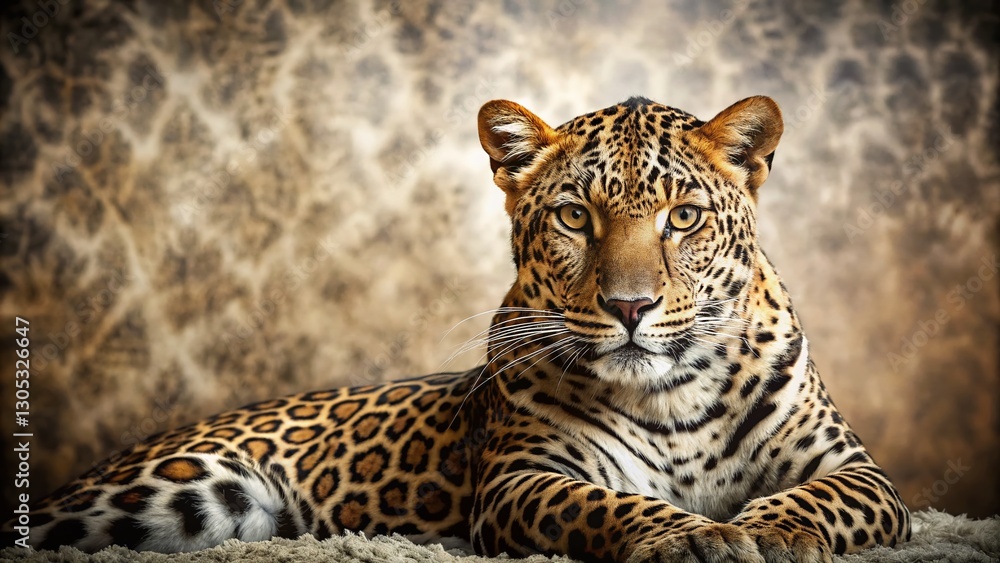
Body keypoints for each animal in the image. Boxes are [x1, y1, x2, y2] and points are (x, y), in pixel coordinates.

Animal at [2, 95, 911, 562]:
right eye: (576, 216)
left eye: (682, 217)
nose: (630, 307)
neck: (673, 395)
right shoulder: (525, 478)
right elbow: (607, 505)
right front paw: (693, 537)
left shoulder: (857, 468)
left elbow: (819, 498)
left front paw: (770, 532)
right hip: (156, 490)